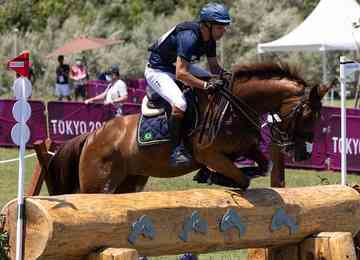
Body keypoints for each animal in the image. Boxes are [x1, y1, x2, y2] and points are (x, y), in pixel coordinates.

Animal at [47, 62, 330, 195]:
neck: (232, 107)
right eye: (307, 115)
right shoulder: (210, 155)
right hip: (98, 183)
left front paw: (214, 176)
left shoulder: (245, 148)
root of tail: (91, 136)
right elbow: (242, 178)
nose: (304, 154)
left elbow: (263, 165)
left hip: (130, 181)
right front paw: (217, 177)